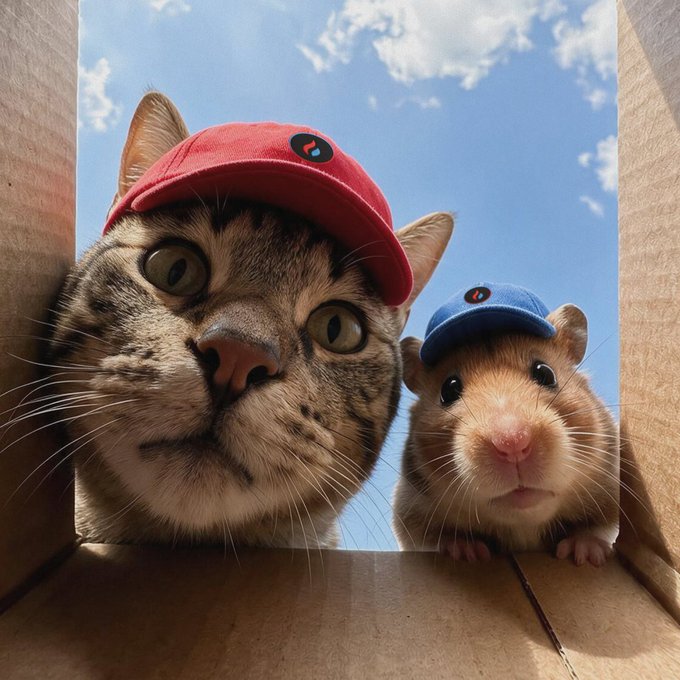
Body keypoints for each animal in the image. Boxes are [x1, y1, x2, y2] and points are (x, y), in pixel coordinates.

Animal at [393, 300, 618, 566]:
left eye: (545, 373)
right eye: (448, 389)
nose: (512, 443)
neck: (523, 522)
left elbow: (599, 527)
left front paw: (583, 555)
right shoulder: (409, 513)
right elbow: (435, 539)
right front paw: (467, 552)